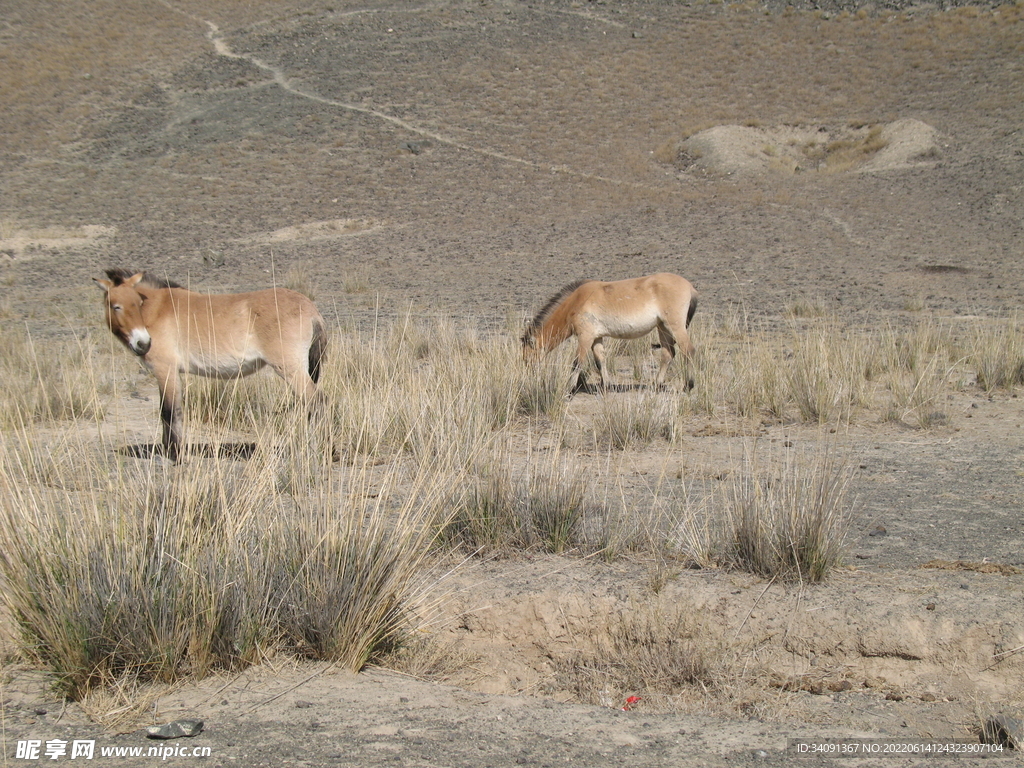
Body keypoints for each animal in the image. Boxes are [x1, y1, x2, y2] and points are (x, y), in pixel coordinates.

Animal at [95, 270, 325, 462]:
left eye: (138, 303)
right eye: (116, 305)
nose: (143, 343)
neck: (158, 309)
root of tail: (310, 308)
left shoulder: (166, 371)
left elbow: (170, 412)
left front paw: (177, 456)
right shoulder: (168, 375)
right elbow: (167, 411)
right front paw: (168, 451)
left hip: (291, 370)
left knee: (316, 402)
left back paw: (314, 450)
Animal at [524, 272, 700, 393]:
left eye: (529, 356)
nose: (529, 375)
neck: (576, 302)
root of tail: (690, 287)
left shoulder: (585, 338)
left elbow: (577, 362)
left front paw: (569, 389)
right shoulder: (596, 338)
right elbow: (600, 361)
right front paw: (606, 386)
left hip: (675, 327)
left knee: (688, 350)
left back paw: (688, 386)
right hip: (663, 328)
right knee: (668, 353)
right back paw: (657, 385)